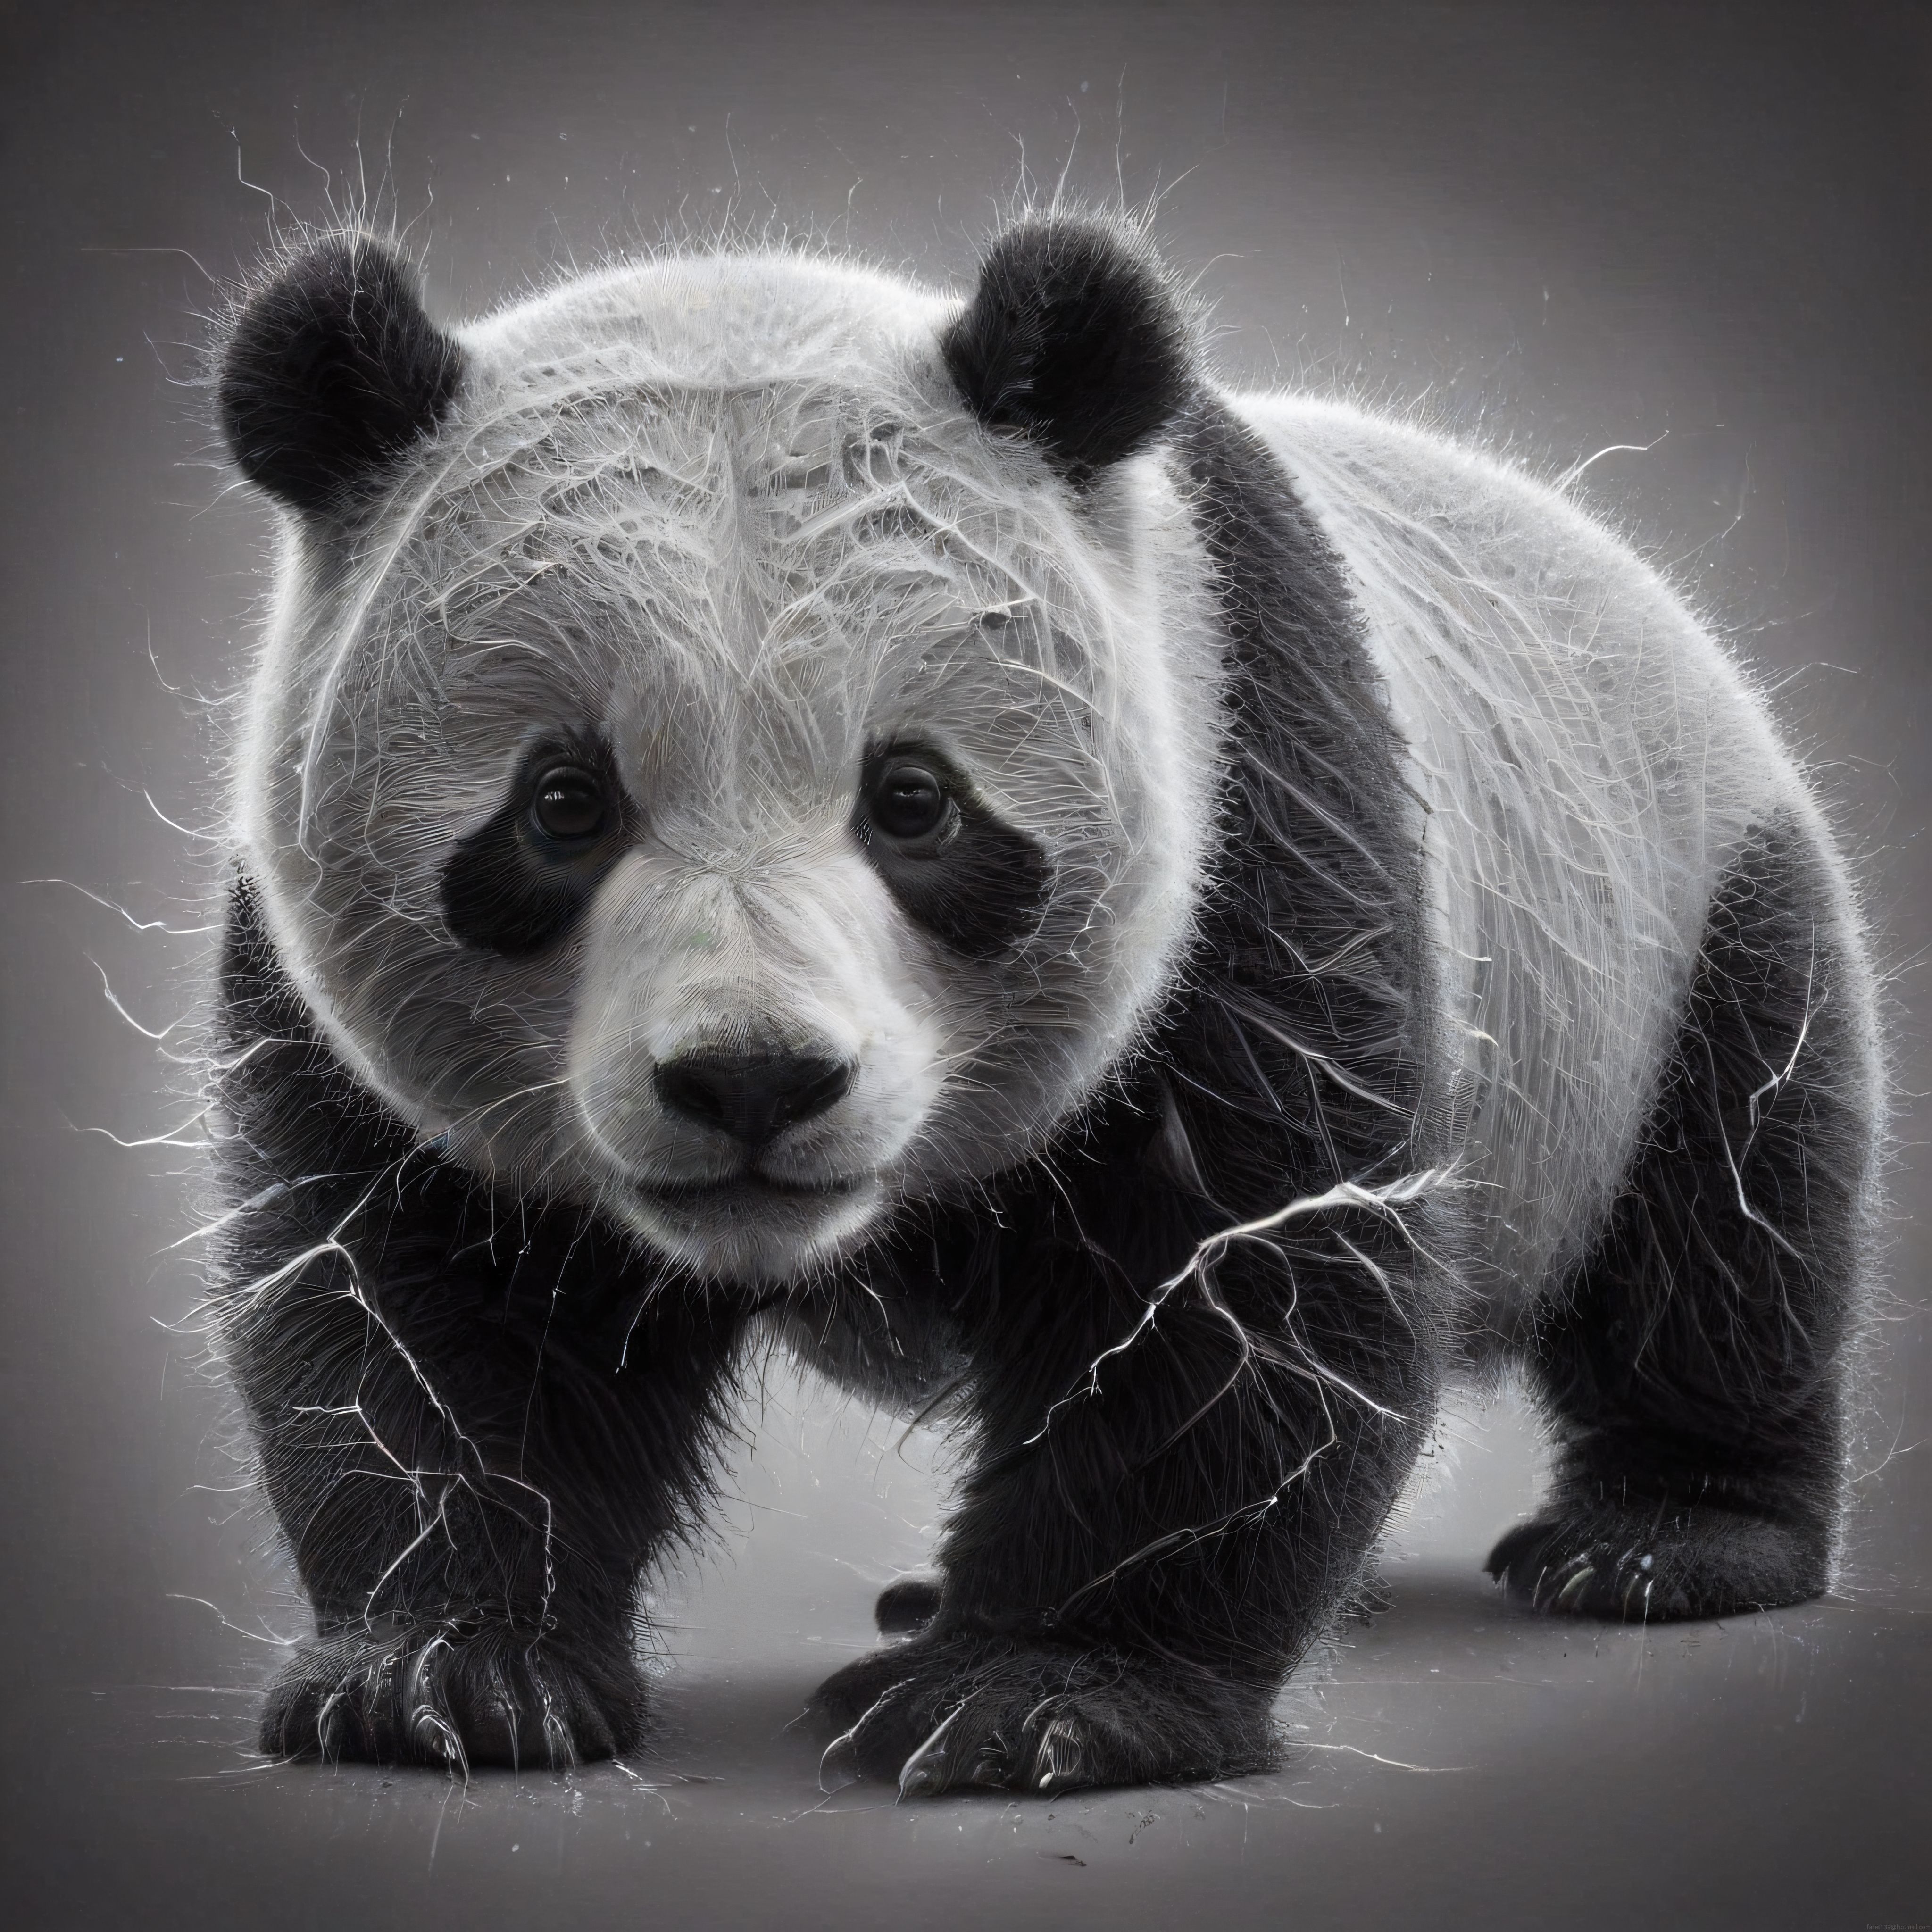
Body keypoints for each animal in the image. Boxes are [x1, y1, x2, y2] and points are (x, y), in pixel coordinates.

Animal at [207, 214, 1881, 1795]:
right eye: (562, 803)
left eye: (914, 801)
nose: (755, 1082)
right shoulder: (337, 990)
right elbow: (423, 1300)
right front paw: (443, 1675)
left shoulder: (1251, 790)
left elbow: (1233, 1275)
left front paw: (1038, 1700)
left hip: (1665, 917)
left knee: (1731, 1208)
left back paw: (1668, 1538)